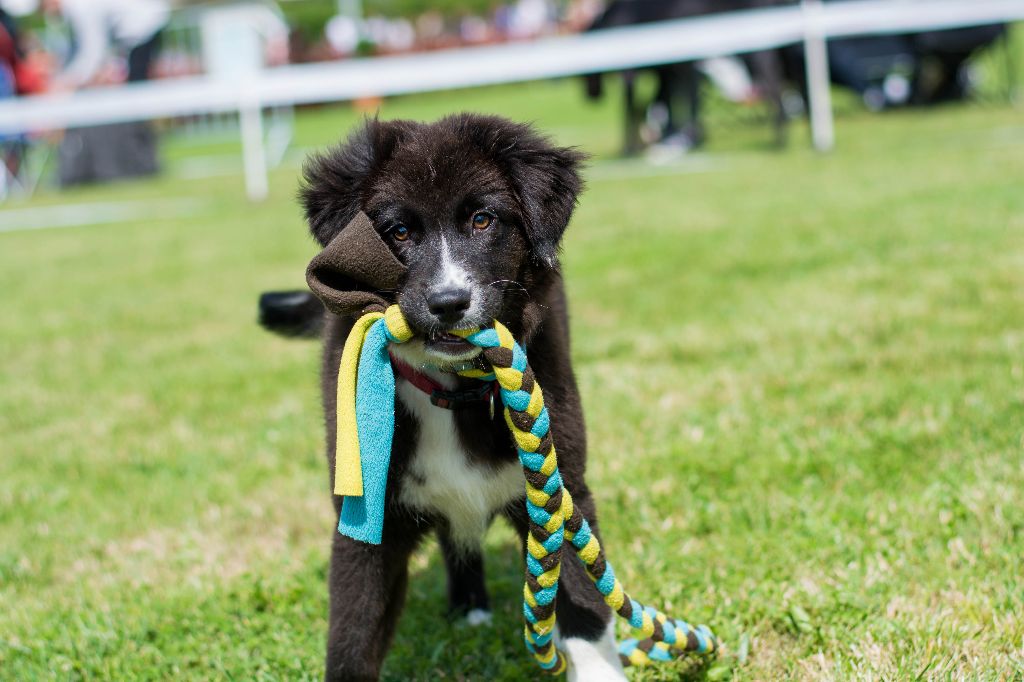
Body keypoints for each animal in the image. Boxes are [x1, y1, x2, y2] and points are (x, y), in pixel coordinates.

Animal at [284, 114, 626, 675]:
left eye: (483, 221)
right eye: (398, 231)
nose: (448, 303)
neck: (450, 390)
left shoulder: (561, 486)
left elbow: (586, 611)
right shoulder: (366, 515)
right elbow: (353, 632)